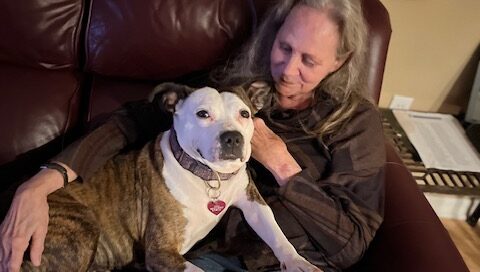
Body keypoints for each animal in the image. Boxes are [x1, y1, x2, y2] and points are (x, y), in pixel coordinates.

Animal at [22, 83, 320, 272]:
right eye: (202, 114)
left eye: (244, 114)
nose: (233, 137)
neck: (209, 177)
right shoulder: (161, 252)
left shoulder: (252, 200)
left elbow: (276, 234)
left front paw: (299, 263)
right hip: (80, 228)